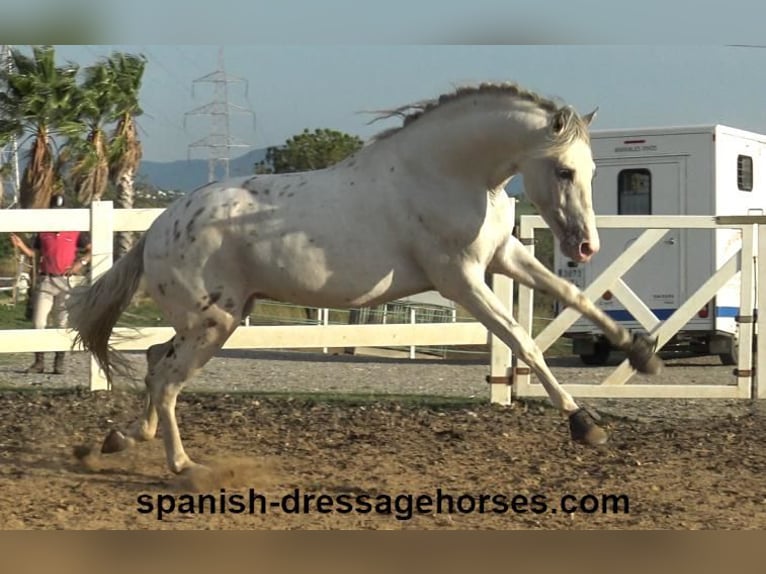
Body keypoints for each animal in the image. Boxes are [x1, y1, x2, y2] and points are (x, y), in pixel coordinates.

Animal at [69, 81, 664, 476]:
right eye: (564, 171)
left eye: (590, 171)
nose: (586, 245)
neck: (447, 173)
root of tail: (158, 227)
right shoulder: (462, 280)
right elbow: (524, 341)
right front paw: (584, 422)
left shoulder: (503, 257)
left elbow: (573, 295)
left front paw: (642, 352)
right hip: (214, 323)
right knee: (168, 380)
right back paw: (182, 466)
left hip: (208, 321)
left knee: (153, 363)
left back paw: (122, 438)